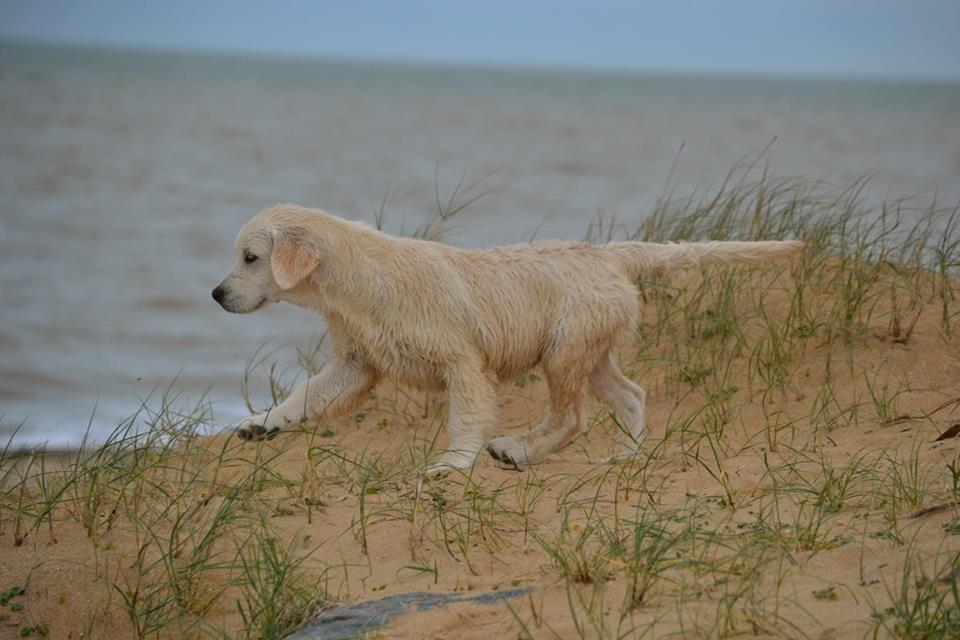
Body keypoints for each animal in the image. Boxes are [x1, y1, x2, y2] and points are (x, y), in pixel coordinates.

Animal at [212, 205, 804, 476]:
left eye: (250, 257)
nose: (216, 295)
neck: (359, 278)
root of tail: (609, 254)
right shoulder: (357, 364)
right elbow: (306, 394)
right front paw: (265, 422)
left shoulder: (462, 362)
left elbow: (465, 417)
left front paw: (452, 465)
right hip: (590, 351)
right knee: (631, 395)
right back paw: (625, 457)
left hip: (564, 351)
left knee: (572, 417)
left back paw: (517, 450)